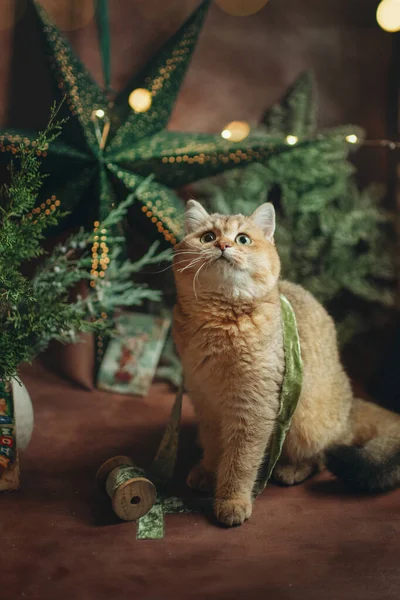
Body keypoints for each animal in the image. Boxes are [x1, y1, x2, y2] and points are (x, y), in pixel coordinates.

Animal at [172, 200, 400, 524]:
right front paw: (208, 470)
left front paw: (231, 500)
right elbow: (214, 444)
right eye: (207, 237)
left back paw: (292, 468)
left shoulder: (253, 408)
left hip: (305, 418)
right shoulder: (204, 399)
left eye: (243, 239)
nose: (224, 245)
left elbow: (240, 461)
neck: (220, 321)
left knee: (321, 454)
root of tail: (351, 408)